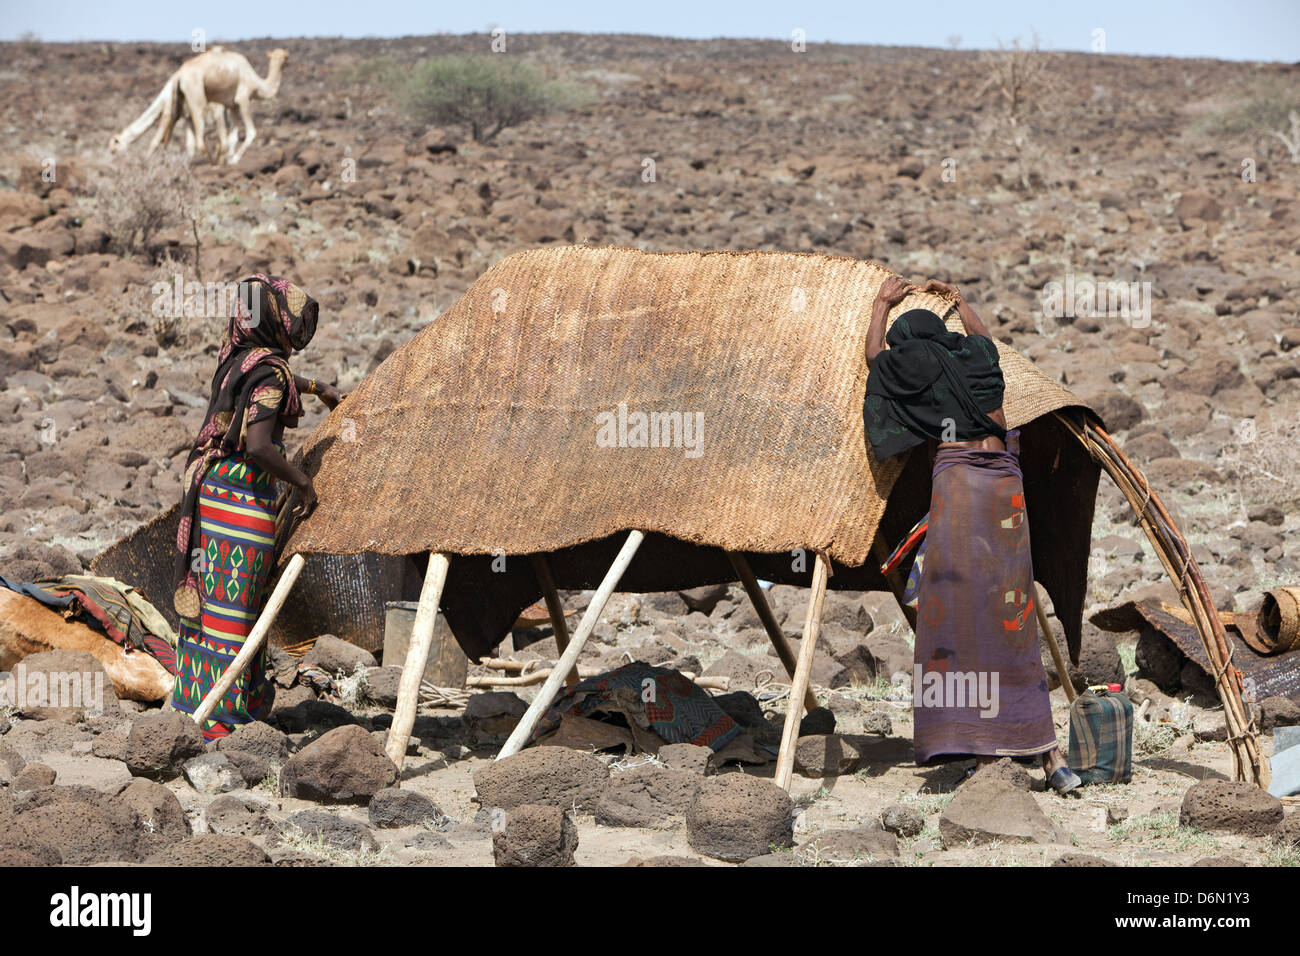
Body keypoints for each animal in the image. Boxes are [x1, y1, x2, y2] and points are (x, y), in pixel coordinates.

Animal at [111, 46, 289, 166]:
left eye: (113, 148)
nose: (112, 157)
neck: (258, 84)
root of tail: (179, 75)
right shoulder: (241, 99)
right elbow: (249, 133)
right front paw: (232, 160)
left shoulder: (230, 105)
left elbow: (229, 138)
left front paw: (228, 160)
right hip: (196, 100)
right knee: (196, 140)